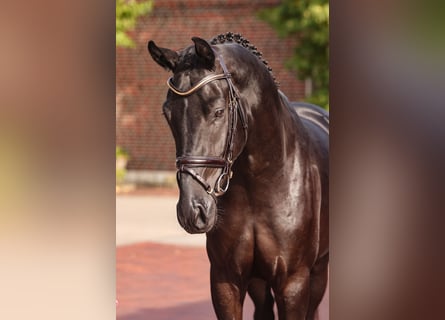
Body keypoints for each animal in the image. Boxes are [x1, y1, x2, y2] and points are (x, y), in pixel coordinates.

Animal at [147, 33, 328, 320]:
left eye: (219, 111)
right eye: (168, 113)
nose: (192, 210)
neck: (262, 182)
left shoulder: (294, 282)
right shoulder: (226, 279)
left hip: (318, 273)